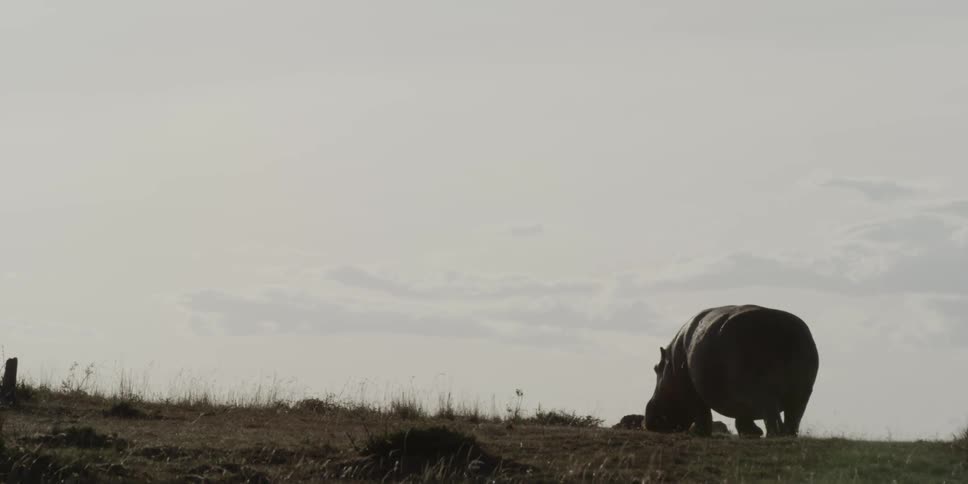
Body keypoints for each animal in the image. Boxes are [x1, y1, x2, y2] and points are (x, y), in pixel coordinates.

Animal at [645, 305, 819, 437]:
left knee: (772, 414)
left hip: (765, 391)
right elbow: (742, 416)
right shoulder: (739, 398)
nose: (648, 420)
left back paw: (774, 435)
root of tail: (782, 329)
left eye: (655, 368)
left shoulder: (693, 392)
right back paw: (788, 435)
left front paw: (697, 433)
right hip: (802, 392)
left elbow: (701, 412)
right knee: (793, 416)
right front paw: (751, 433)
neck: (670, 367)